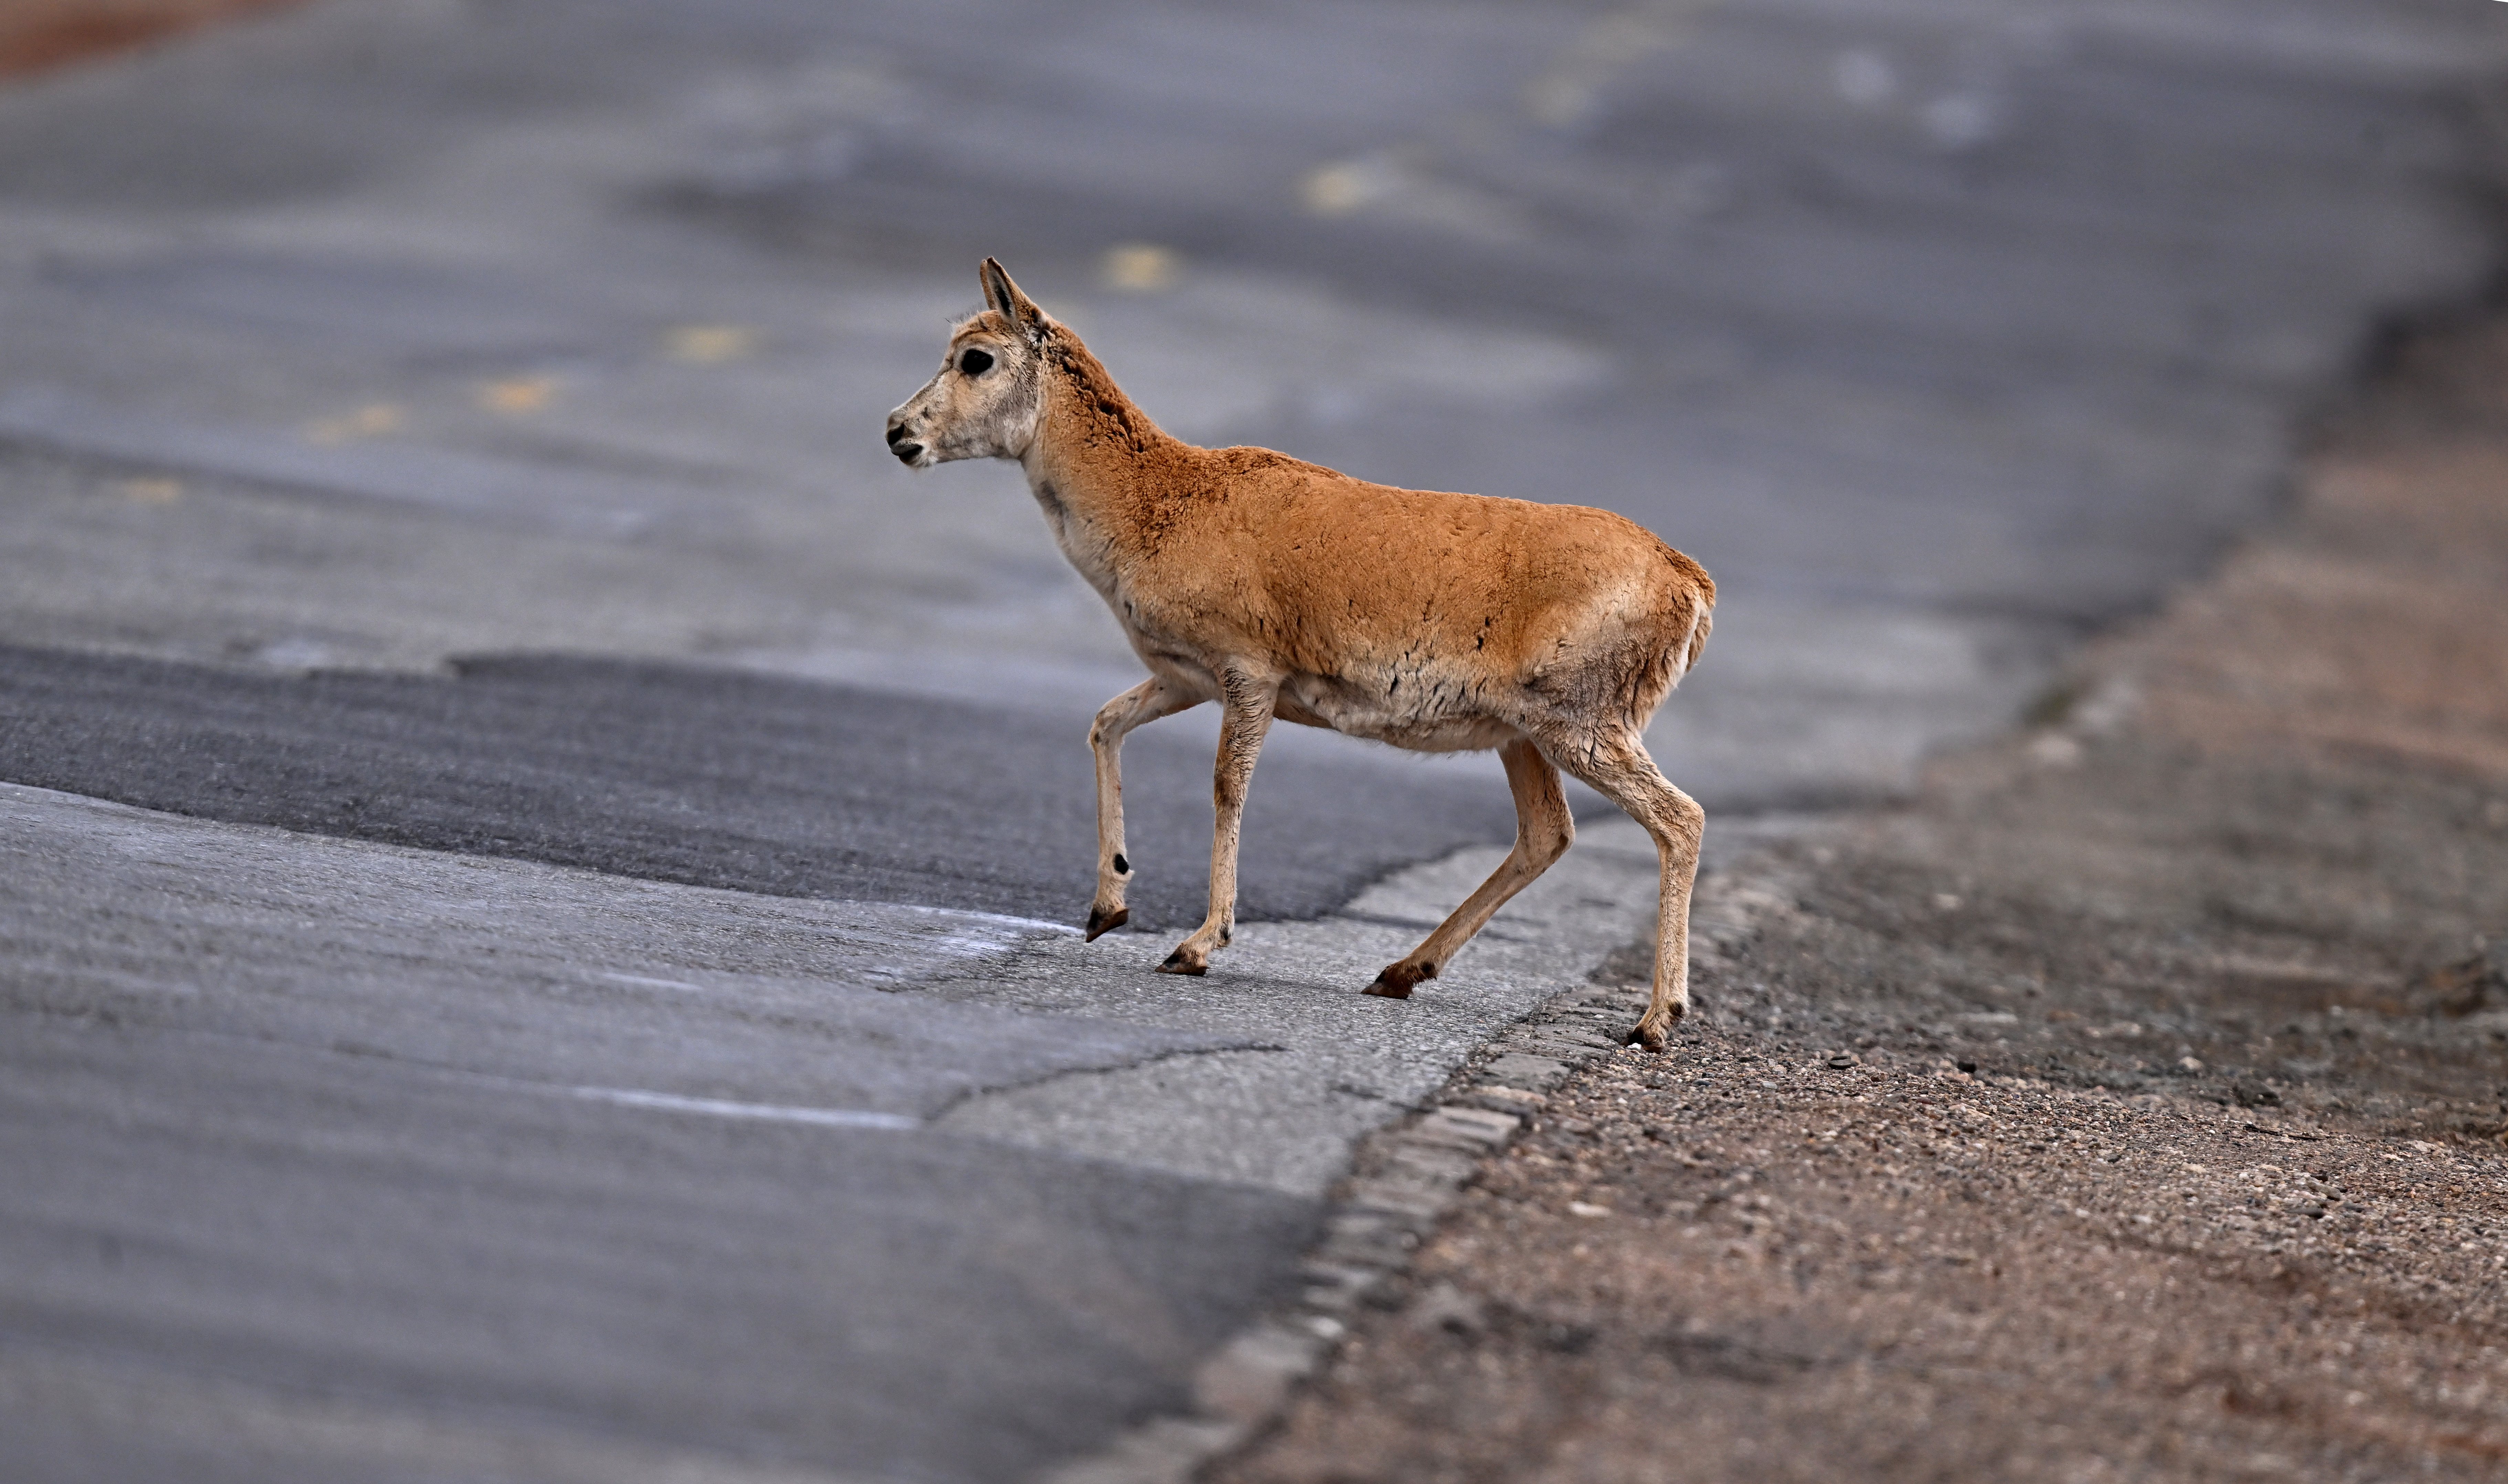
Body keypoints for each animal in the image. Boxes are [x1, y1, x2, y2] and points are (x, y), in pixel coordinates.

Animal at [872, 260, 1715, 1048]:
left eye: (976, 357)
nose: (896, 430)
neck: (1160, 504)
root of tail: (1691, 584)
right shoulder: (1182, 676)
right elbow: (1104, 724)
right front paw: (1107, 908)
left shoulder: (1250, 670)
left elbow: (1227, 786)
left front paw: (1195, 945)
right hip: (1526, 735)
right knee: (1548, 833)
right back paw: (1398, 972)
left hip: (1580, 724)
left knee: (1681, 817)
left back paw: (1654, 1020)